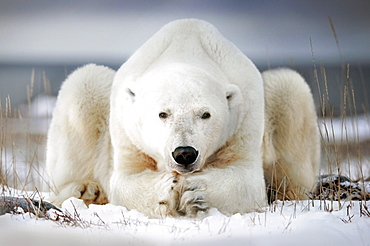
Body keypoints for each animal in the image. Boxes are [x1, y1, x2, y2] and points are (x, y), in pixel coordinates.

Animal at [45, 19, 318, 217]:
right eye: (162, 113)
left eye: (206, 114)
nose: (184, 153)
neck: (186, 48)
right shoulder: (127, 129)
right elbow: (126, 179)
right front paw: (167, 190)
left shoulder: (244, 115)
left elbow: (246, 179)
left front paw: (195, 192)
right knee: (84, 85)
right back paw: (85, 190)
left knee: (289, 90)